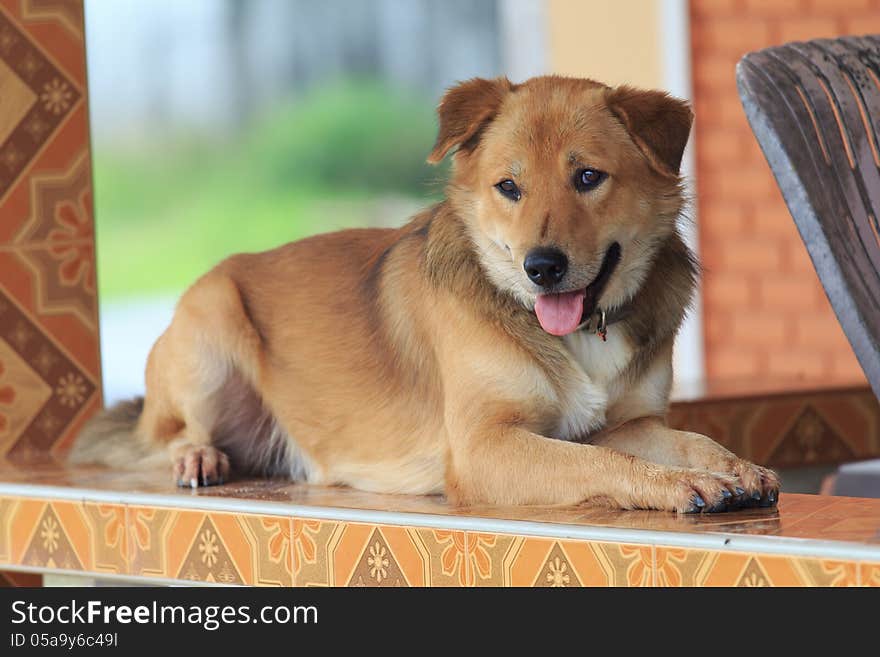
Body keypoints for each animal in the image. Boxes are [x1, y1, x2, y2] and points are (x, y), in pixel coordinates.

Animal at [72, 74, 780, 510]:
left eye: (587, 177)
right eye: (508, 187)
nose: (542, 268)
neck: (579, 334)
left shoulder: (626, 424)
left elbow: (687, 442)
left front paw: (731, 467)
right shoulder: (486, 447)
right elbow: (608, 469)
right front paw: (679, 486)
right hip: (211, 327)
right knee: (163, 435)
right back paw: (197, 456)